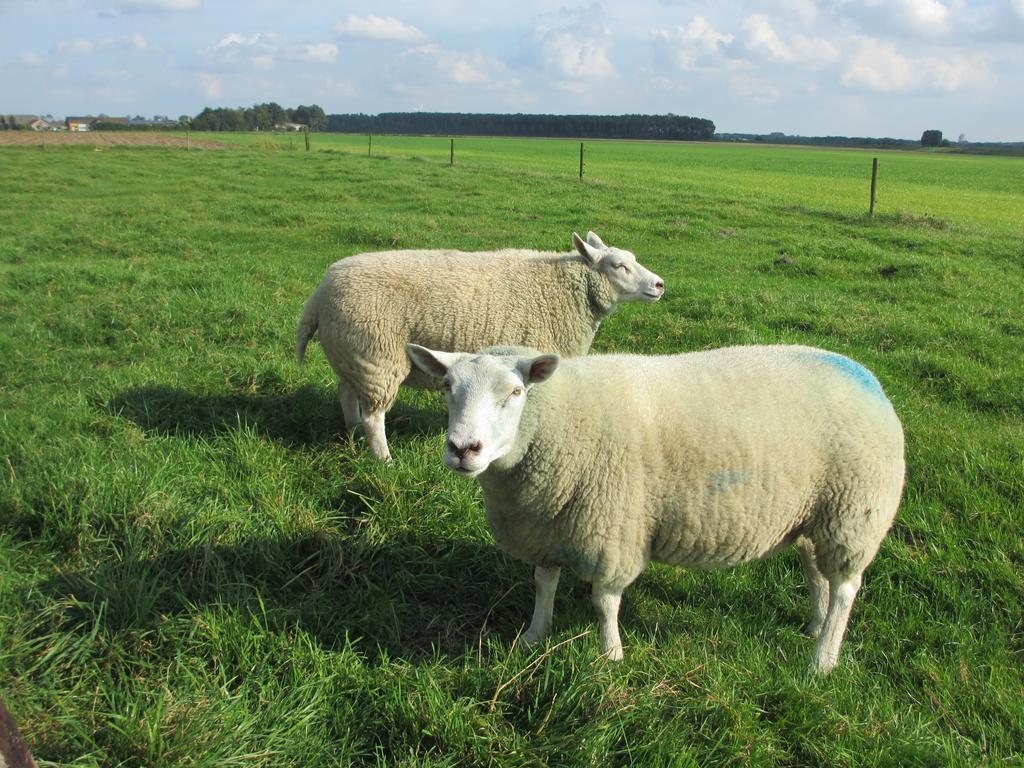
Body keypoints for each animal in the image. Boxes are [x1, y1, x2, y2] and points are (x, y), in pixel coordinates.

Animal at [296, 231, 663, 460]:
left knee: (346, 393)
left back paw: (351, 431)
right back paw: (384, 459)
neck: (568, 291)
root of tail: (319, 295)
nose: (660, 284)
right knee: (375, 416)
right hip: (377, 356)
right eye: (619, 265)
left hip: (353, 353)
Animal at [403, 342, 909, 671]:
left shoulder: (612, 529)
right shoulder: (545, 527)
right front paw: (533, 637)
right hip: (813, 514)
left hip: (855, 512)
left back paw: (823, 659)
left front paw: (611, 656)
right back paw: (815, 626)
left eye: (515, 392)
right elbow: (543, 585)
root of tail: (868, 378)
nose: (463, 448)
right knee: (816, 572)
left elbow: (604, 602)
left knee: (846, 587)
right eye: (447, 386)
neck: (558, 420)